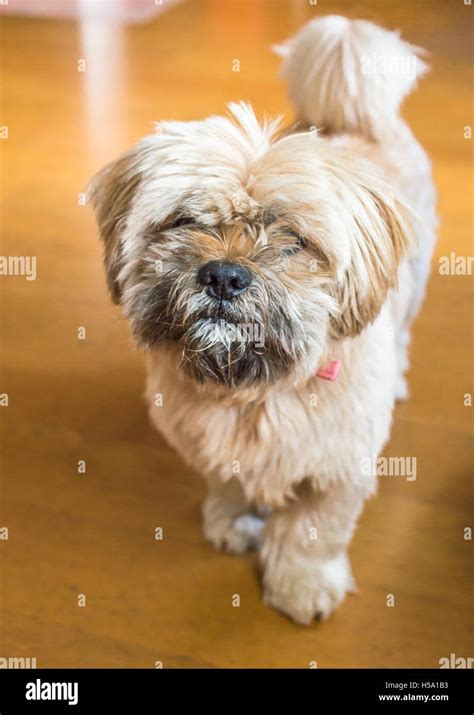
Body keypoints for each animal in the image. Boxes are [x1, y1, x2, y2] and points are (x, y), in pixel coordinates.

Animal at [88, 14, 436, 624]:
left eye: (292, 239)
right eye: (185, 221)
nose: (225, 275)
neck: (253, 392)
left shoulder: (338, 472)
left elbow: (311, 534)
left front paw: (301, 585)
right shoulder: (209, 447)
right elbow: (228, 484)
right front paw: (232, 524)